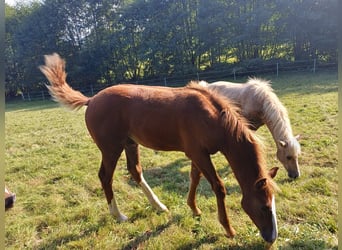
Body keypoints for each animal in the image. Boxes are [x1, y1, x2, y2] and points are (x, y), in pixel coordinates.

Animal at [40, 53, 280, 243]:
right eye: (264, 207)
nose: (271, 238)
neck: (212, 117)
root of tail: (91, 100)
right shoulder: (199, 154)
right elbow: (218, 187)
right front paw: (228, 229)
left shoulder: (197, 154)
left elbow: (194, 178)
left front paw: (194, 208)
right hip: (111, 149)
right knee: (105, 177)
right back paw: (119, 215)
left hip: (130, 144)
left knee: (135, 171)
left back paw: (159, 206)